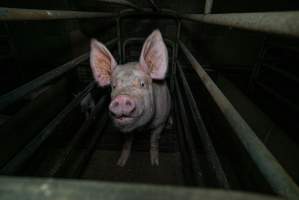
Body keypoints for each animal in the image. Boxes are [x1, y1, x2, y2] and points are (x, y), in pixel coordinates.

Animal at [89, 29, 171, 166]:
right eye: (113, 86)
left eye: (142, 84)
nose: (121, 98)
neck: (142, 128)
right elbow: (127, 143)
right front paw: (120, 163)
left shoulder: (160, 122)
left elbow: (154, 140)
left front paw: (155, 163)